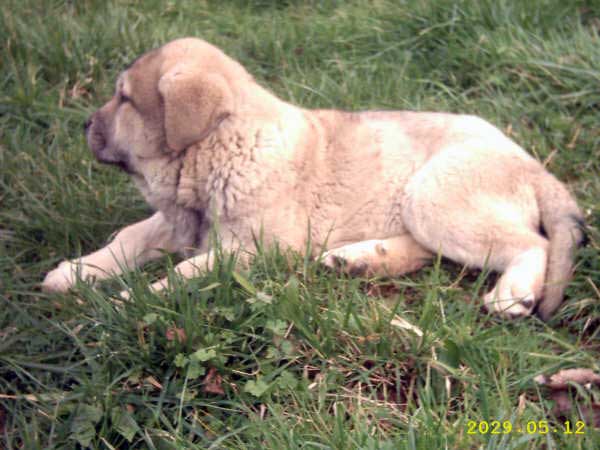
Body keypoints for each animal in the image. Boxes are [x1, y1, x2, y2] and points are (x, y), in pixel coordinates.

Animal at [43, 37, 584, 320]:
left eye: (124, 99)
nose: (84, 125)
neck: (224, 148)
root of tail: (536, 167)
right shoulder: (179, 222)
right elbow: (127, 237)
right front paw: (75, 272)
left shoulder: (253, 249)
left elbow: (187, 271)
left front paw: (132, 301)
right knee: (428, 252)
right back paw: (358, 260)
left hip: (434, 193)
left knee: (529, 243)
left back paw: (512, 295)